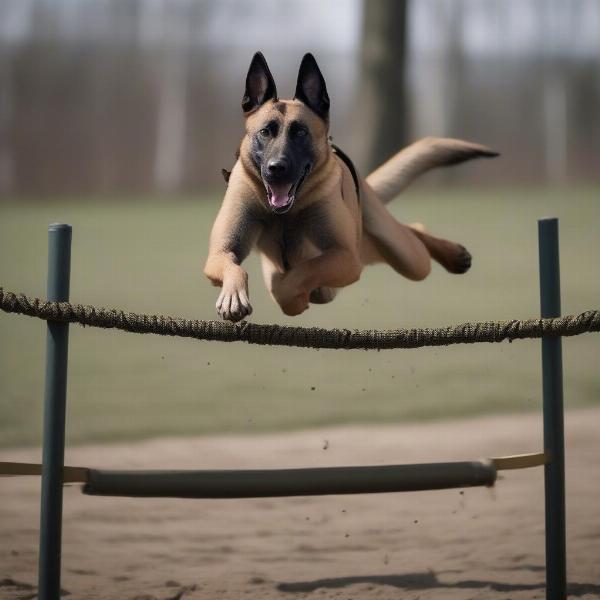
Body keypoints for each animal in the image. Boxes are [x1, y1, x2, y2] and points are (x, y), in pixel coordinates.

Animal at [204, 53, 494, 322]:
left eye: (300, 133)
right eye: (265, 132)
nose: (276, 168)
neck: (285, 214)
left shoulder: (345, 257)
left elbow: (298, 276)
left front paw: (299, 295)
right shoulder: (221, 252)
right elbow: (236, 267)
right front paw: (233, 297)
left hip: (405, 256)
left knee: (414, 232)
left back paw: (452, 254)